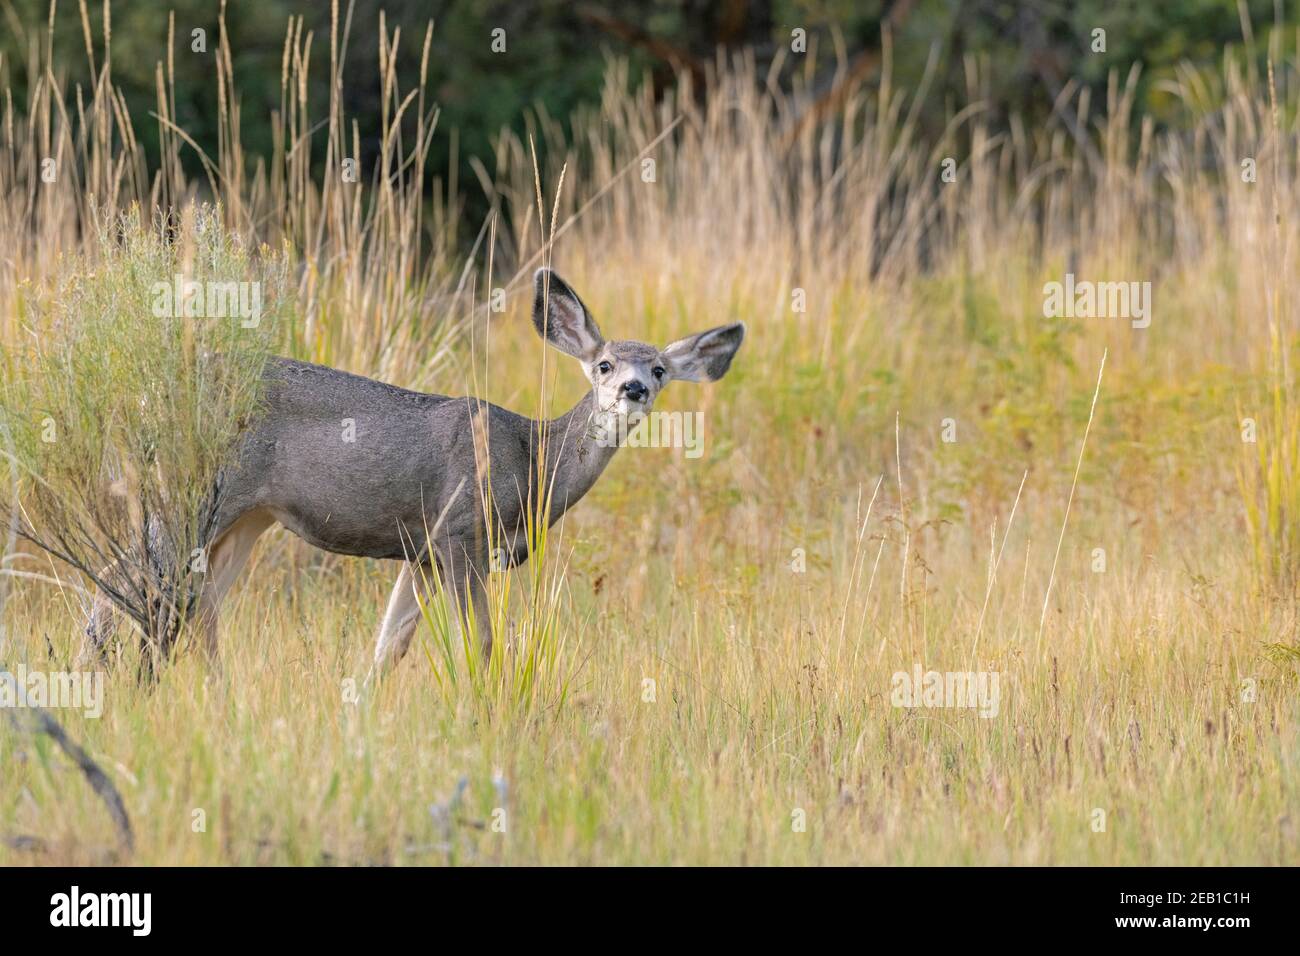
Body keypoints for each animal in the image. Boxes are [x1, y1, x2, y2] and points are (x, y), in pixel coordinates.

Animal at [79, 269, 745, 677]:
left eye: (659, 369)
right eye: (603, 364)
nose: (633, 389)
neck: (534, 461)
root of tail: (146, 393)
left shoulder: (420, 552)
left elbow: (388, 647)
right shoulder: (458, 531)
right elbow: (480, 642)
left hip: (248, 518)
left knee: (197, 605)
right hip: (190, 495)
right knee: (122, 584)